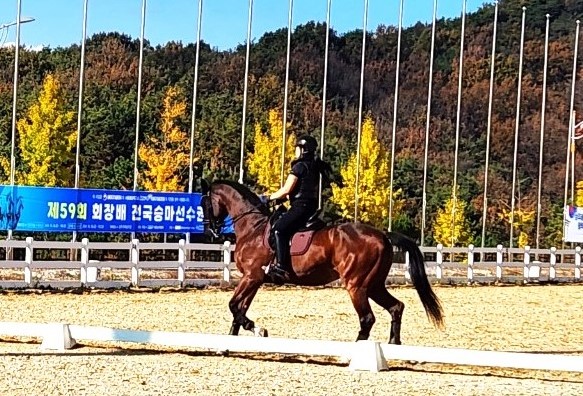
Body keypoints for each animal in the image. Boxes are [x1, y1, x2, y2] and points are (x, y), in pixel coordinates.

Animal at [203, 179, 444, 344]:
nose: (211, 230)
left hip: (356, 285)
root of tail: (383, 235)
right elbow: (239, 309)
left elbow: (234, 306)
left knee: (367, 318)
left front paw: (257, 329)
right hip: (374, 285)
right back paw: (393, 343)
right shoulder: (254, 279)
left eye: (205, 202)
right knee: (396, 307)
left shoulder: (252, 276)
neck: (253, 227)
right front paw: (236, 336)